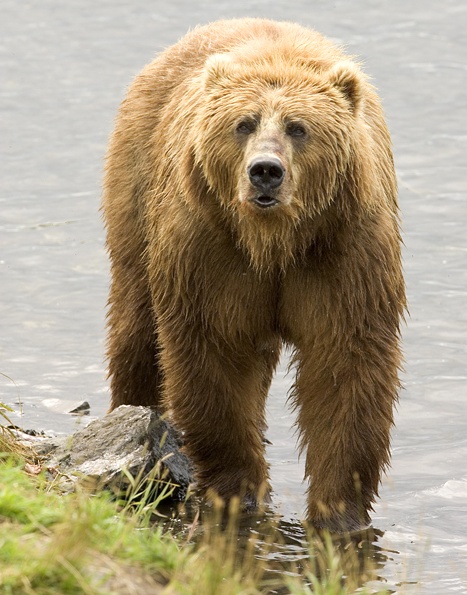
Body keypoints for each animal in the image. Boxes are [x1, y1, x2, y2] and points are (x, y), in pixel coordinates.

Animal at [102, 18, 406, 532]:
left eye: (298, 127)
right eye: (243, 123)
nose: (266, 171)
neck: (274, 241)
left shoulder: (345, 252)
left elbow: (347, 364)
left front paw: (338, 510)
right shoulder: (209, 250)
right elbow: (213, 355)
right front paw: (239, 488)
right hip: (138, 186)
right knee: (137, 324)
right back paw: (130, 413)